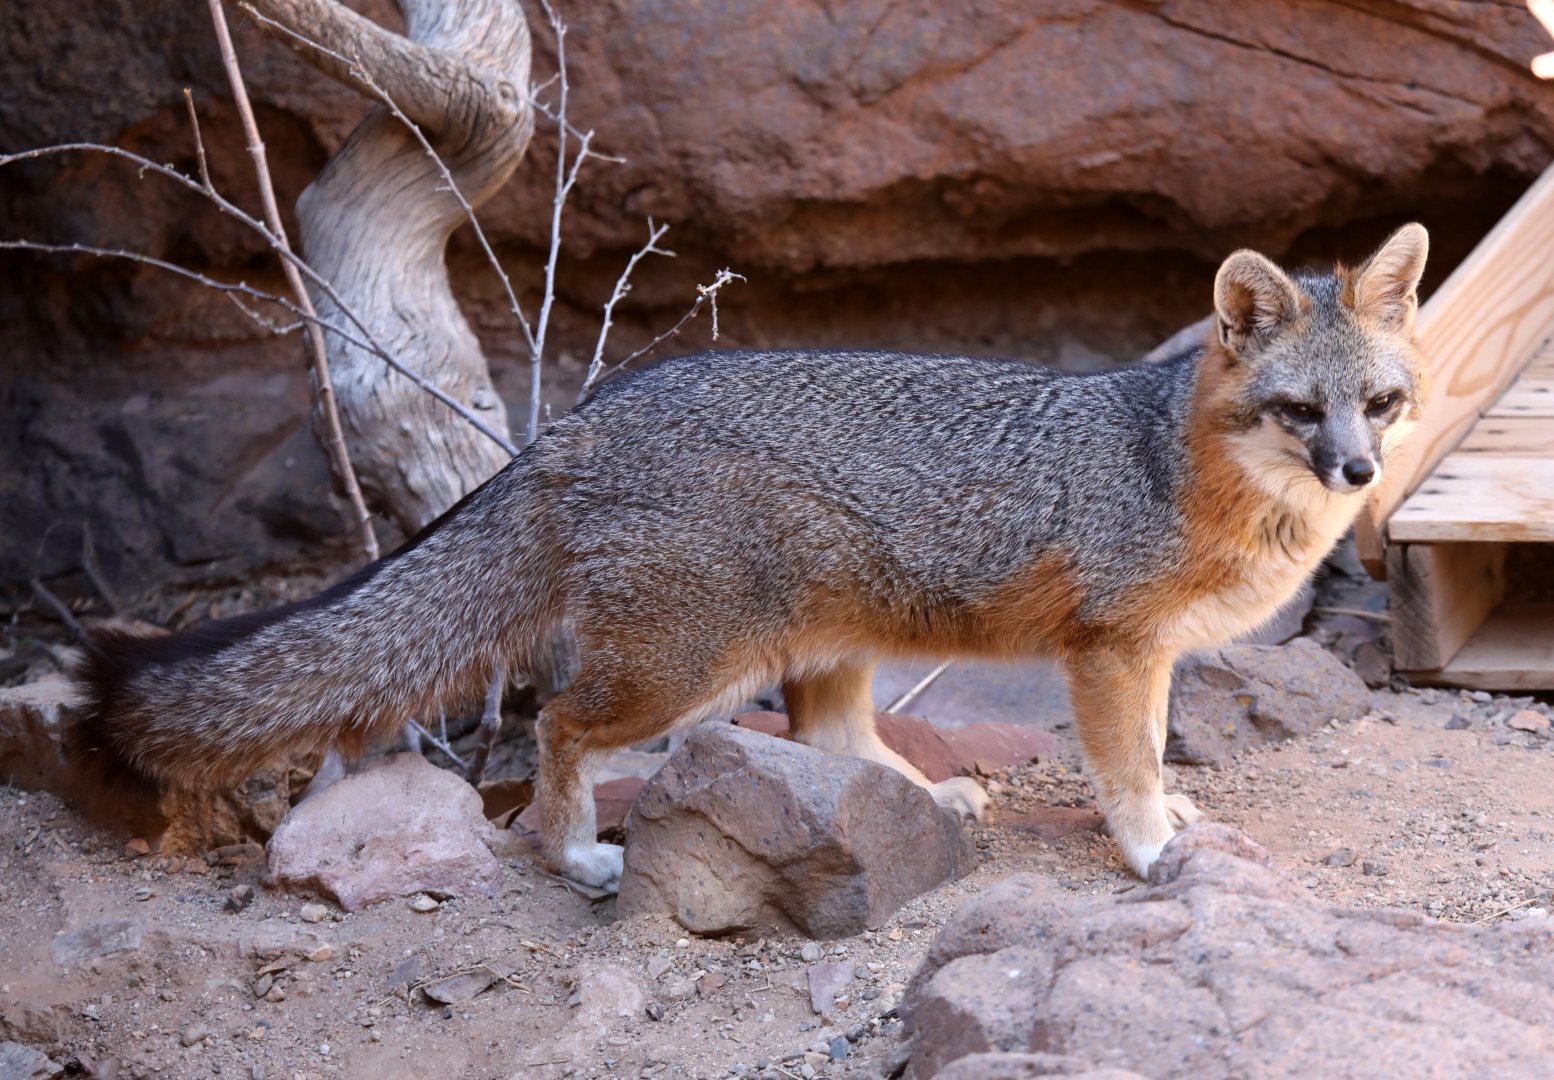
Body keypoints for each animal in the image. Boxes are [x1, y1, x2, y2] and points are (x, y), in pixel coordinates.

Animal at [73, 224, 1428, 888]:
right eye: (1302, 412)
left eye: (1381, 405)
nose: (1359, 475)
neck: (1179, 472)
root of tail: (581, 418)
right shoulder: (1109, 652)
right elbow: (1129, 764)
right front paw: (1148, 851)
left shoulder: (1142, 659)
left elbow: (1148, 750)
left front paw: (1165, 820)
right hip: (684, 671)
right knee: (560, 723)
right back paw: (575, 856)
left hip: (825, 645)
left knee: (828, 740)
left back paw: (919, 797)